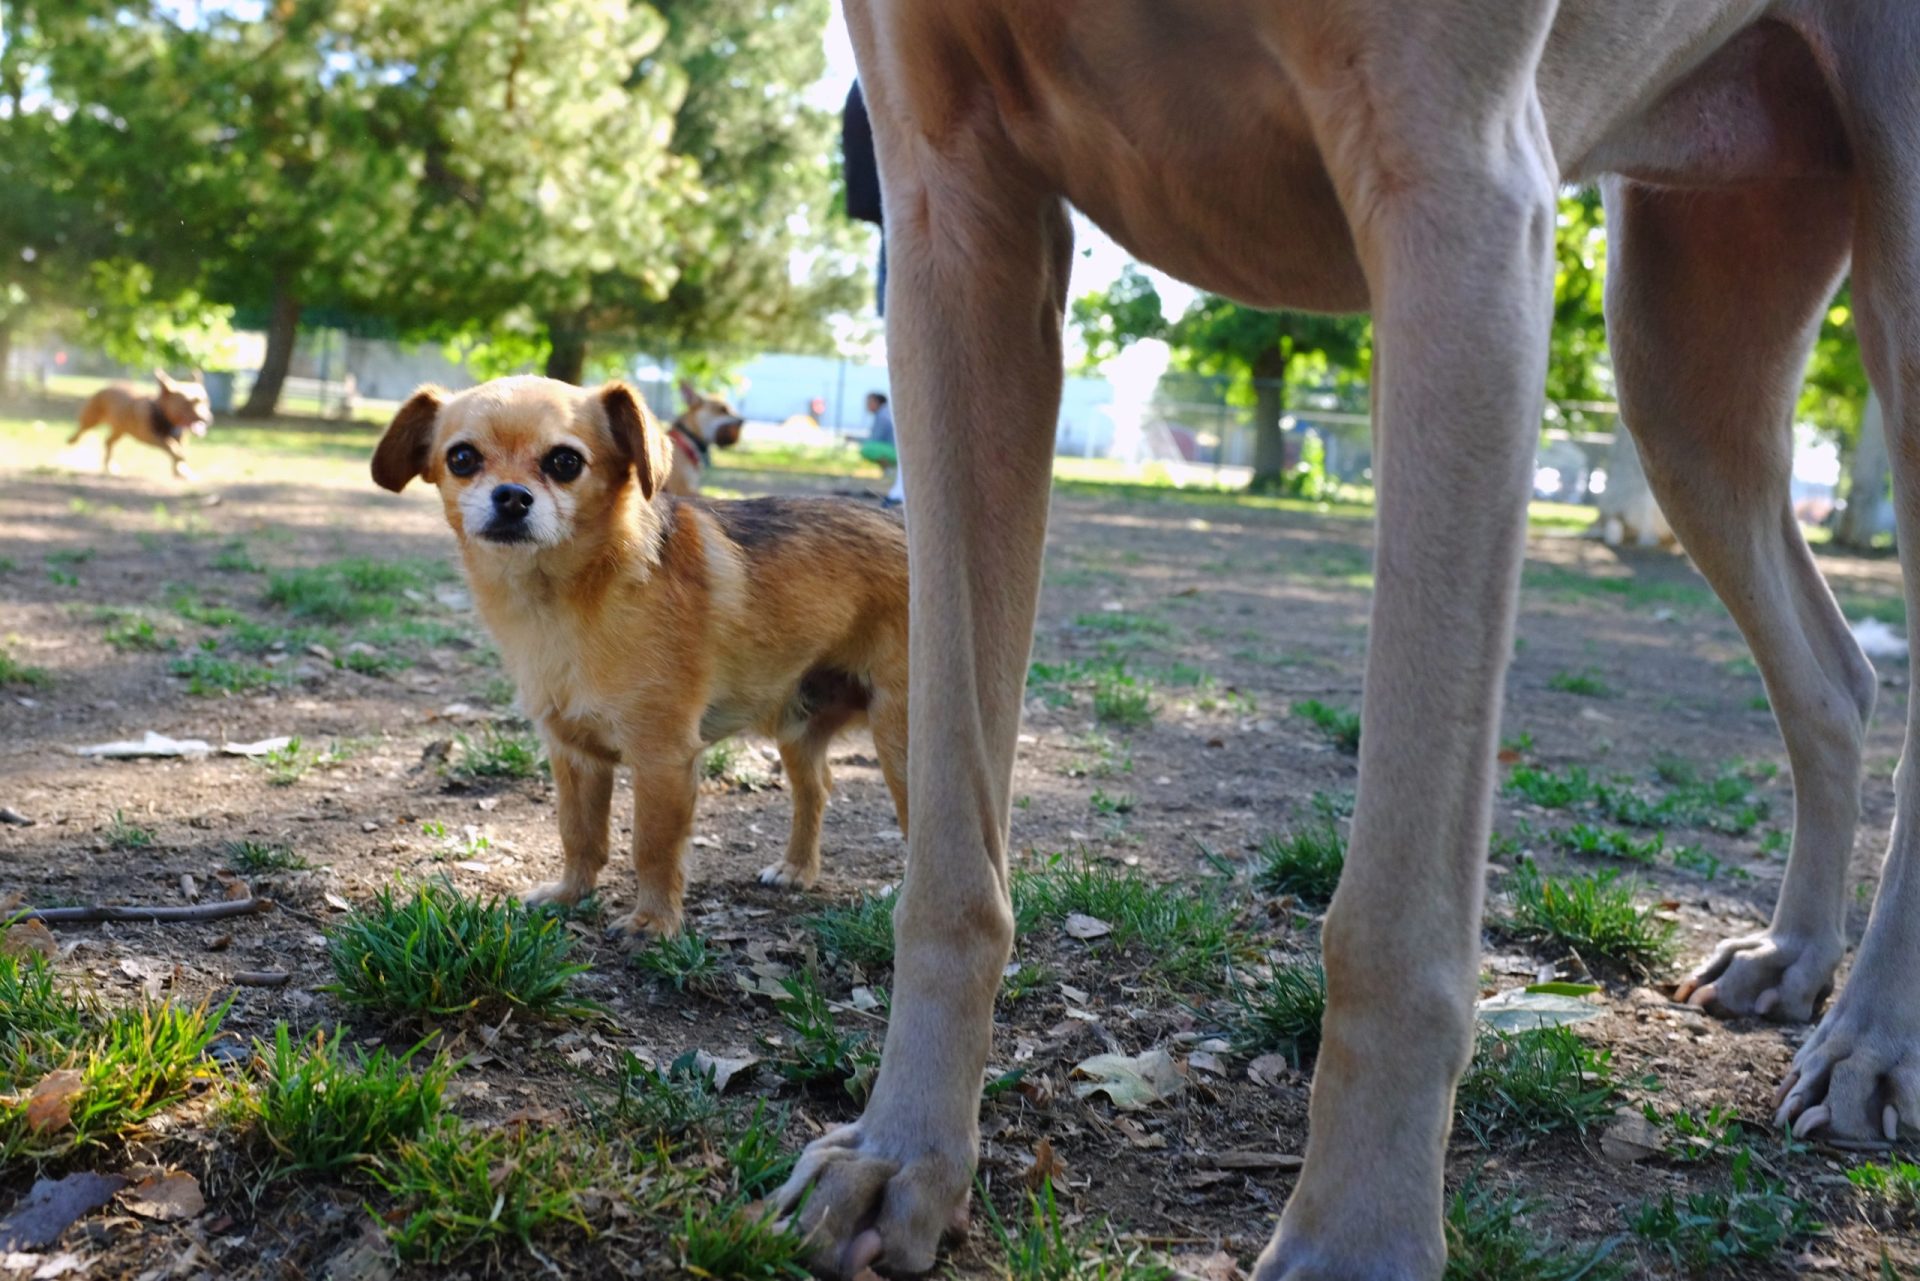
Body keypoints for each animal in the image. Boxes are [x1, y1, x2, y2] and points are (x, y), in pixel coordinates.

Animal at [71, 370, 216, 480]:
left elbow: (177, 450)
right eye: (188, 402)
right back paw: (72, 440)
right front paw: (180, 460)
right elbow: (171, 447)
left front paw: (181, 471)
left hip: (121, 429)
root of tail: (110, 385)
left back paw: (110, 466)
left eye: (206, 401)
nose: (208, 419)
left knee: (109, 441)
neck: (168, 418)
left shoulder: (181, 438)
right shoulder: (151, 436)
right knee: (82, 429)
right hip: (92, 418)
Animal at [378, 376, 917, 937]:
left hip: (899, 740)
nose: (510, 496)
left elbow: (653, 846)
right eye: (462, 458)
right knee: (816, 789)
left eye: (565, 463)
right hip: (798, 726)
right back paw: (797, 869)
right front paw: (570, 894)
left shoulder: (663, 761)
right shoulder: (575, 755)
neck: (564, 597)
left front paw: (654, 923)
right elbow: (579, 833)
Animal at [771, 2, 1920, 1281]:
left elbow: (1396, 912)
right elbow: (947, 855)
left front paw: (1359, 1239)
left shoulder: (1462, 205)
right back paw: (1796, 957)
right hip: (1689, 347)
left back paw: (1875, 1039)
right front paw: (902, 1153)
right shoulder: (952, 215)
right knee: (1835, 675)